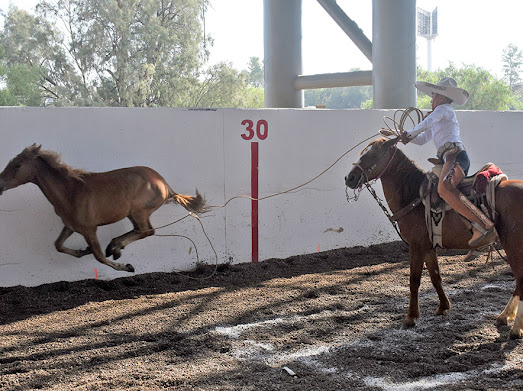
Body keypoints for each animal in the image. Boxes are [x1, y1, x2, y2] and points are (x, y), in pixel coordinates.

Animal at [0, 144, 208, 272]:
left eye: (17, 165)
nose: (0, 184)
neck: (71, 191)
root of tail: (165, 185)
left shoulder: (89, 229)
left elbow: (99, 257)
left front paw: (127, 267)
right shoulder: (71, 226)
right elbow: (58, 245)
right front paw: (83, 251)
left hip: (139, 212)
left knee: (147, 231)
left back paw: (116, 248)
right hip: (133, 214)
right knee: (139, 230)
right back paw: (115, 246)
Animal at [348, 138, 523, 340]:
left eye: (374, 154)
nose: (349, 178)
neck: (414, 195)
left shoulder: (416, 245)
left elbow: (414, 280)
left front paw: (411, 317)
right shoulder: (429, 247)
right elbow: (435, 276)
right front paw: (443, 307)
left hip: (513, 244)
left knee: (520, 279)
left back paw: (515, 328)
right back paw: (504, 316)